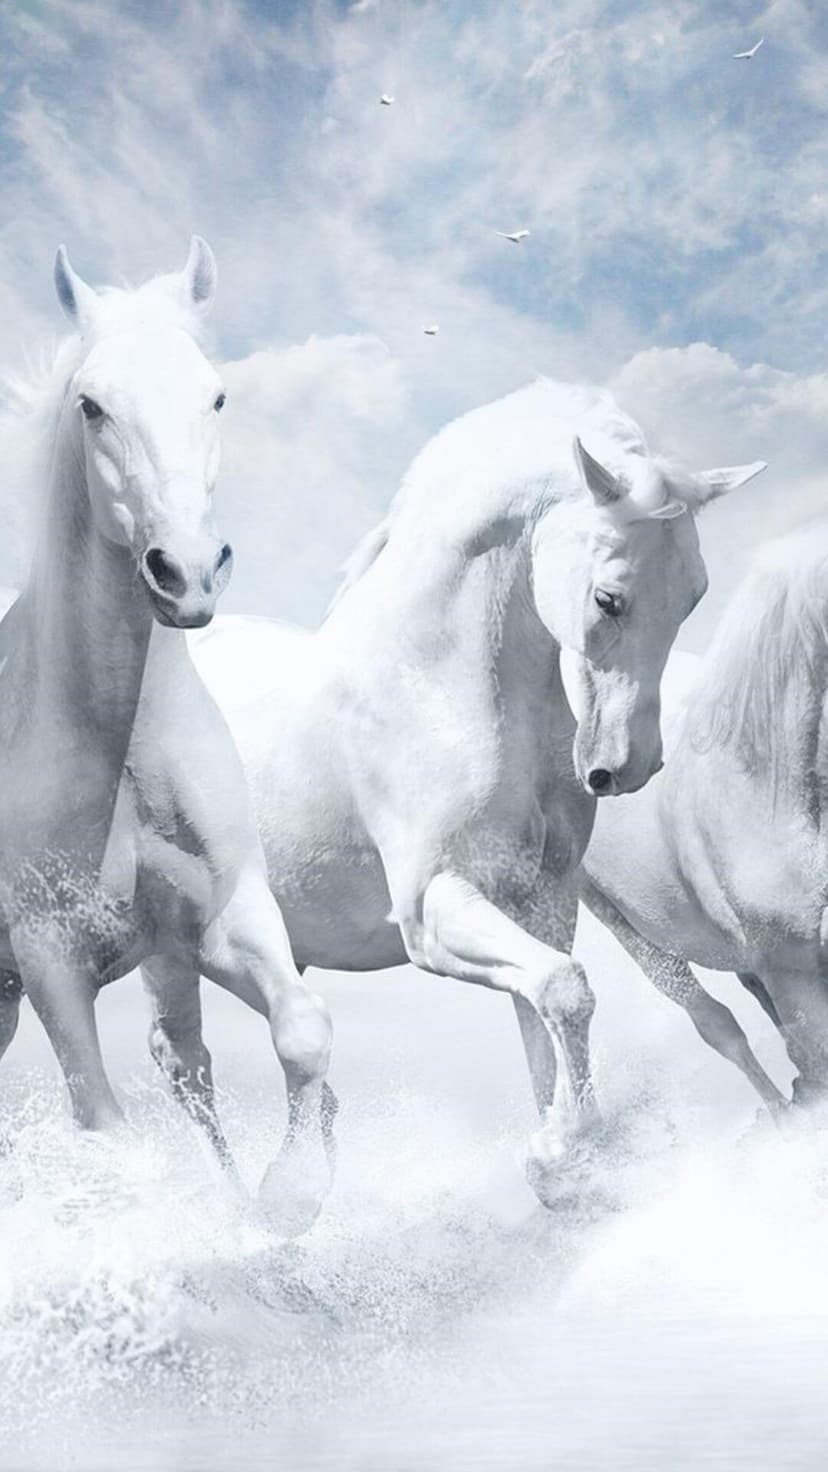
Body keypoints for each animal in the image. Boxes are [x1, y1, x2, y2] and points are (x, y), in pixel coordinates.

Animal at [0, 240, 335, 1235]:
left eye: (215, 396)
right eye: (92, 405)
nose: (185, 572)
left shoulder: (220, 919)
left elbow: (303, 1031)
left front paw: (288, 1199)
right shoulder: (48, 958)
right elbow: (107, 1132)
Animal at [175, 379, 764, 1202]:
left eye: (694, 597)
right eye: (609, 599)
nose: (628, 767)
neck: (436, 685)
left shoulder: (539, 903)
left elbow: (543, 1010)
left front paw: (561, 1156)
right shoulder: (434, 908)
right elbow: (565, 992)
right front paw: (566, 1148)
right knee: (183, 1066)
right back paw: (249, 1208)